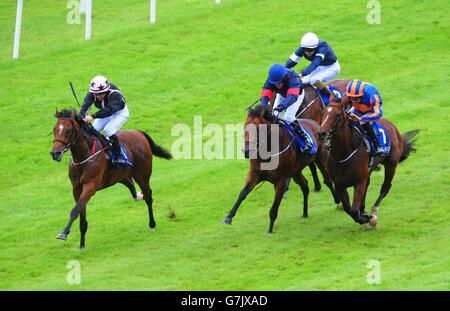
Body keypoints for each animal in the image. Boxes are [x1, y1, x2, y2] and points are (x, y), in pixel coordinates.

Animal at [50, 109, 171, 249]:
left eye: (68, 131)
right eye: (54, 129)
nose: (55, 153)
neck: (83, 156)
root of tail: (138, 133)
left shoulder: (91, 186)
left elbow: (75, 210)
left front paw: (63, 233)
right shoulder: (76, 188)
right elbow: (81, 212)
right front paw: (82, 245)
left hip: (142, 174)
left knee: (148, 196)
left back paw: (152, 224)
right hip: (121, 175)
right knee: (132, 186)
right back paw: (138, 196)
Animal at [221, 105, 338, 234]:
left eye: (258, 129)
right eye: (244, 127)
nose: (246, 151)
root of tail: (316, 124)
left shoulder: (281, 180)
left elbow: (275, 205)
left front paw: (270, 229)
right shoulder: (255, 174)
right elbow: (243, 193)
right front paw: (228, 217)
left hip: (320, 160)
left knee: (327, 181)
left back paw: (338, 202)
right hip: (296, 172)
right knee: (305, 187)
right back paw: (305, 213)